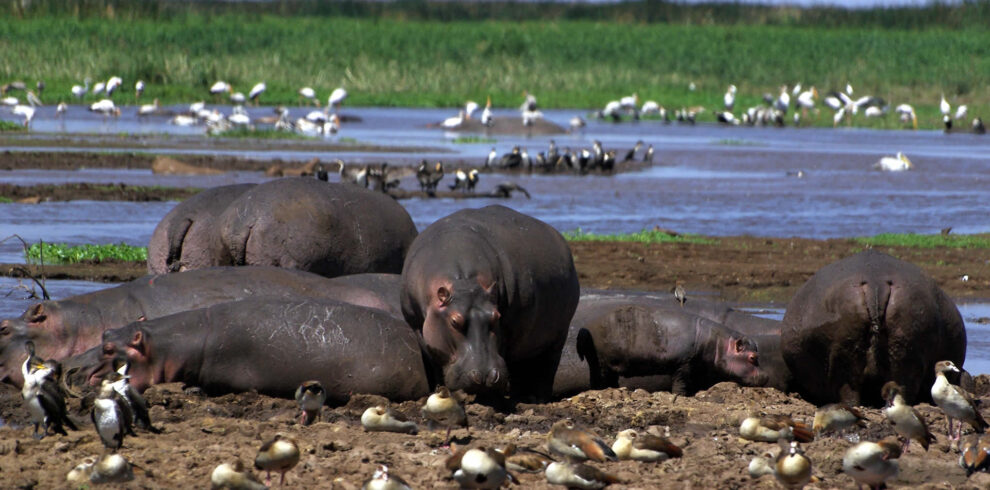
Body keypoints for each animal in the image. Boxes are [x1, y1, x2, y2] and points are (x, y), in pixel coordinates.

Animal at [402, 205, 580, 400]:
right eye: (454, 321)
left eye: (496, 316)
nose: (485, 376)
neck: (465, 282)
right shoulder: (417, 325)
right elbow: (433, 359)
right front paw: (440, 390)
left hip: (559, 335)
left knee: (546, 366)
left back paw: (535, 397)